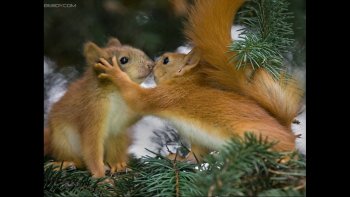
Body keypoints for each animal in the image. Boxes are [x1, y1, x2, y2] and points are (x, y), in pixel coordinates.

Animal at [44, 37, 154, 178]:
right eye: (124, 60)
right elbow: (92, 147)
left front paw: (117, 165)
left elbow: (115, 145)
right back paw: (65, 164)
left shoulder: (119, 124)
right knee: (78, 161)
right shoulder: (93, 112)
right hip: (62, 141)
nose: (151, 65)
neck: (116, 93)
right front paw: (100, 176)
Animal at [94, 0, 302, 160]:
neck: (184, 83)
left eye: (166, 60)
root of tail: (287, 133)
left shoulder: (167, 96)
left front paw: (115, 72)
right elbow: (195, 157)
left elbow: (138, 98)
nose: (152, 65)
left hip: (256, 136)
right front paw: (177, 159)